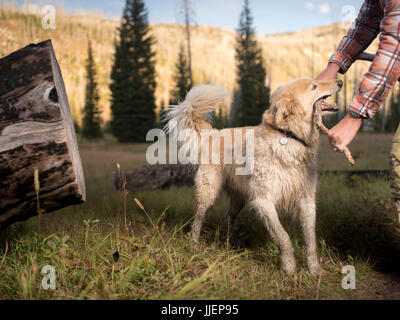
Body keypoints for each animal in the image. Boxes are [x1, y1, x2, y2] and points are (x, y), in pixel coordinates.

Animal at [164, 78, 342, 276]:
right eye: (314, 87)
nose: (340, 81)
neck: (290, 138)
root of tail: (214, 134)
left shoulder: (307, 200)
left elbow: (310, 240)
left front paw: (315, 271)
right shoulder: (263, 201)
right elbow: (283, 236)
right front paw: (289, 267)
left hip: (240, 197)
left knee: (228, 217)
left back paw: (233, 245)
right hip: (208, 193)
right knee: (198, 221)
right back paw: (193, 247)